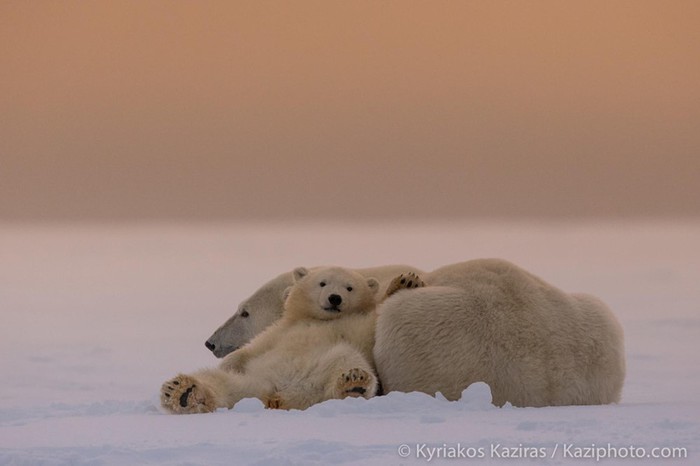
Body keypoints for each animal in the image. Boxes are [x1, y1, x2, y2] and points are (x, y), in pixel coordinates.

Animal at [161, 268, 380, 414]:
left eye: (350, 288)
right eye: (322, 283)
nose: (335, 298)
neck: (319, 320)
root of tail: (277, 396)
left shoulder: (356, 326)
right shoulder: (281, 329)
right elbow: (254, 348)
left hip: (323, 370)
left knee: (347, 359)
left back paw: (354, 383)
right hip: (253, 380)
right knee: (218, 380)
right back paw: (182, 391)